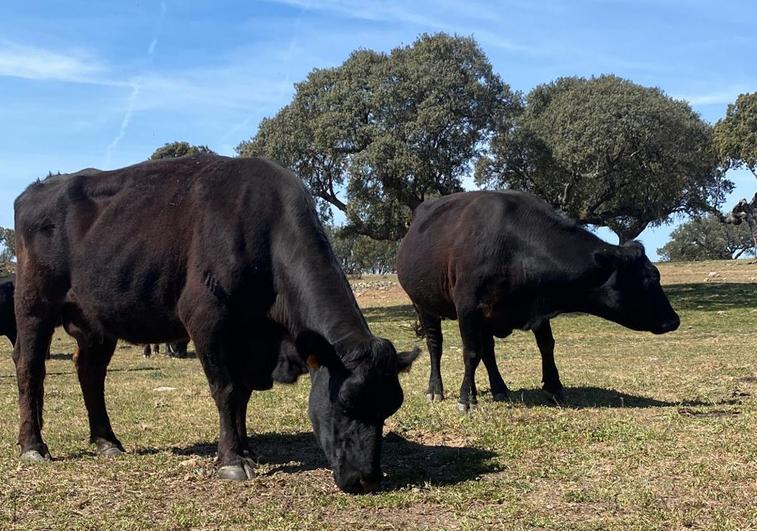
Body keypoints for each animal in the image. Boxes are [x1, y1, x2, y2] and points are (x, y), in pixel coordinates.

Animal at [11, 154, 416, 494]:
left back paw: (107, 441)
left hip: (95, 320)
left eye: (390, 407)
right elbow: (227, 390)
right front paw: (232, 461)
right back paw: (34, 446)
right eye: (345, 403)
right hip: (34, 304)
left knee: (90, 372)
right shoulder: (206, 317)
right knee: (29, 366)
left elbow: (244, 395)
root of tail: (38, 187)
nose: (366, 479)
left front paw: (246, 449)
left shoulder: (249, 340)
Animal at [396, 191, 680, 412]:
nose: (674, 320)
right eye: (649, 279)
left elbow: (546, 345)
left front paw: (555, 386)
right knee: (436, 346)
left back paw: (499, 389)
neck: (514, 249)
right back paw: (437, 389)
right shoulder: (468, 307)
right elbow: (470, 353)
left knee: (489, 351)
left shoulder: (538, 308)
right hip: (424, 306)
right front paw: (466, 399)